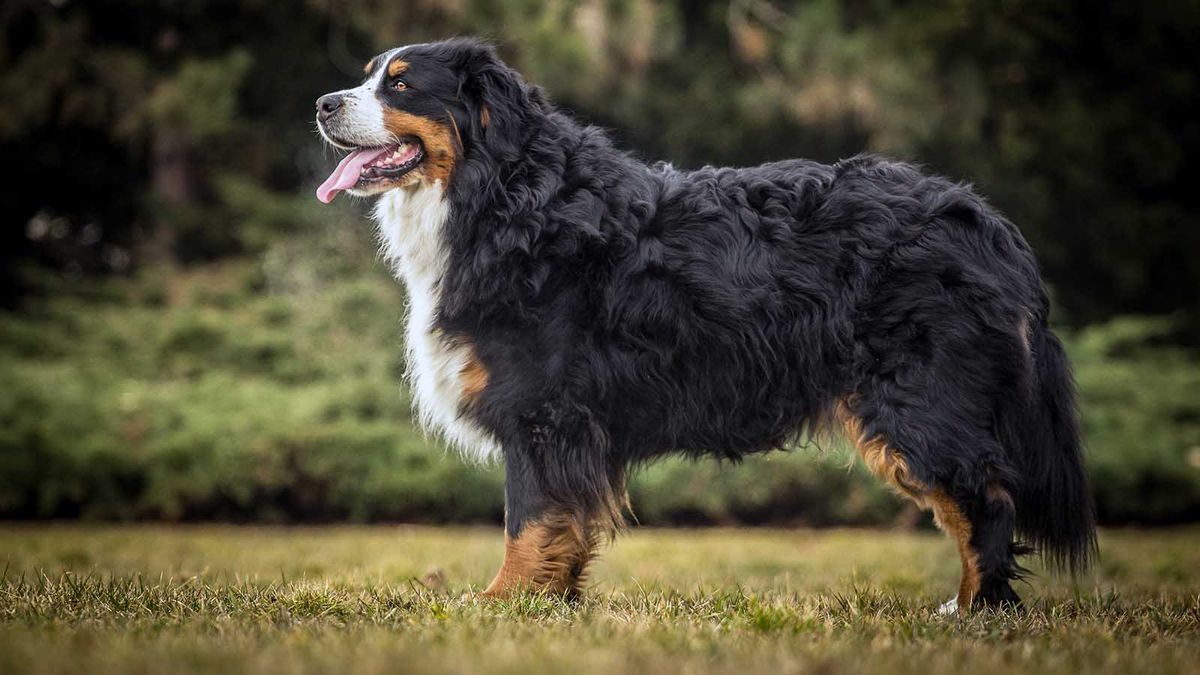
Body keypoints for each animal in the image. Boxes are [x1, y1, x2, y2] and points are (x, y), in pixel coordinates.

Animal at [312, 39, 1099, 612]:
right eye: (369, 76)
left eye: (401, 86)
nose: (322, 103)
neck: (508, 197)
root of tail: (984, 219)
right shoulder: (565, 424)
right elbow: (564, 525)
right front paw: (553, 604)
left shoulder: (543, 410)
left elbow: (529, 518)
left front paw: (503, 603)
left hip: (917, 400)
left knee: (984, 500)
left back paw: (973, 611)